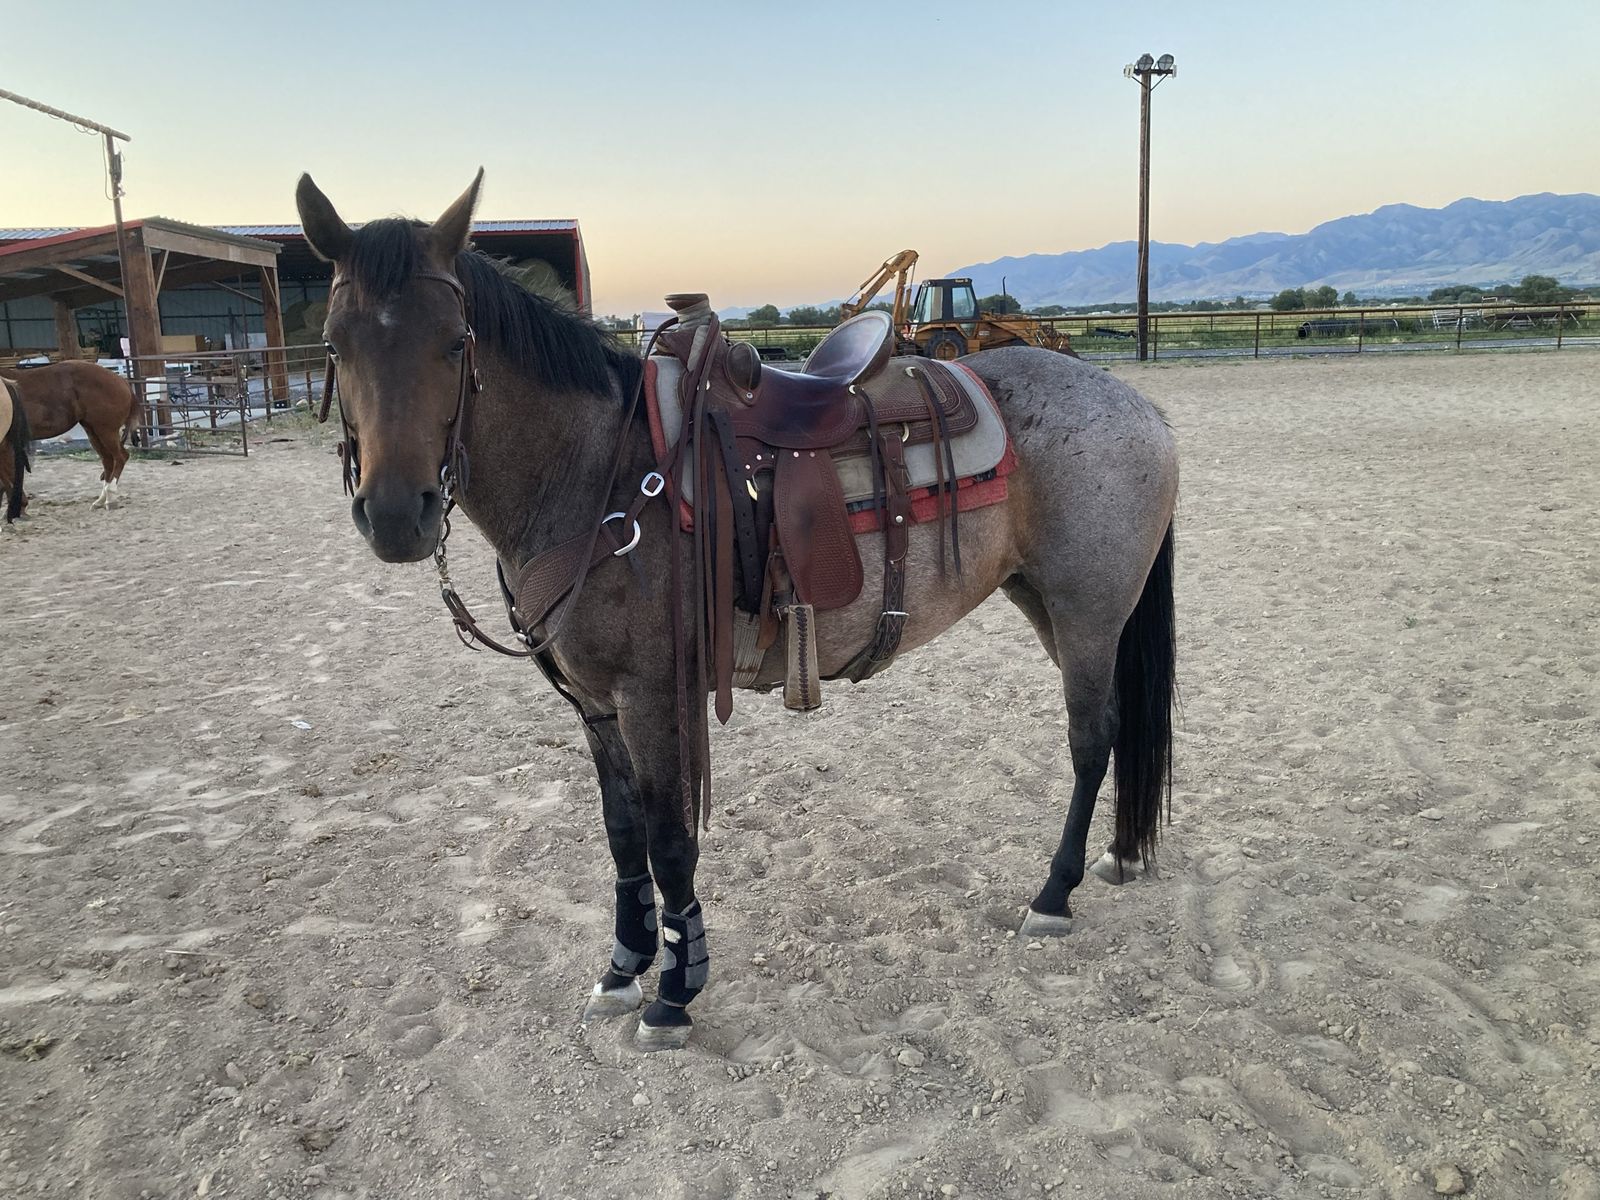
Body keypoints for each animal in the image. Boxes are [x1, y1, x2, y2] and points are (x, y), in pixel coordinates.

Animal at [0, 360, 139, 510]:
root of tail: (122, 381)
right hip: (93, 431)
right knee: (108, 461)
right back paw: (101, 499)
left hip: (106, 430)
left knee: (120, 457)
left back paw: (110, 497)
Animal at [295, 172, 1179, 1051]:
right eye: (335, 345)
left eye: (455, 343)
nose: (396, 516)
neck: (595, 470)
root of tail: (1140, 409)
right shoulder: (595, 707)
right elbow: (623, 835)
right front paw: (622, 969)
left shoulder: (653, 698)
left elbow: (668, 841)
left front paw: (674, 993)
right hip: (1049, 604)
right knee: (1116, 723)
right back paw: (1118, 856)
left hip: (1088, 610)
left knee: (1091, 736)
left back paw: (1054, 895)